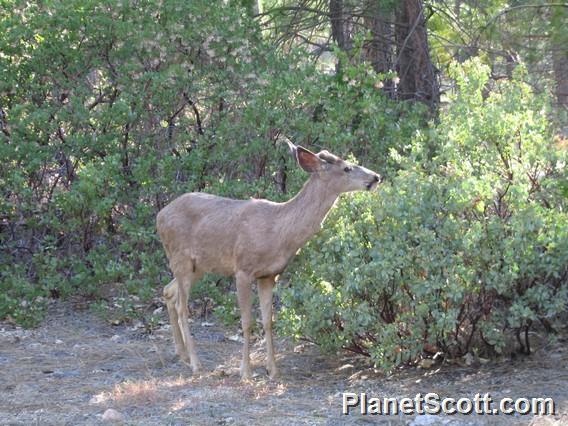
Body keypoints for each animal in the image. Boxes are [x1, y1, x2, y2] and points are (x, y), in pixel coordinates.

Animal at [156, 141, 382, 382]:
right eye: (347, 168)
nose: (376, 176)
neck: (278, 230)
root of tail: (160, 215)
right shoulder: (243, 269)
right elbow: (246, 322)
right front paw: (245, 372)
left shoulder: (269, 275)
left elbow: (268, 321)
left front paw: (273, 370)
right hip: (181, 258)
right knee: (182, 306)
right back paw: (196, 364)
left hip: (199, 265)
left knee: (168, 291)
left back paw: (182, 354)